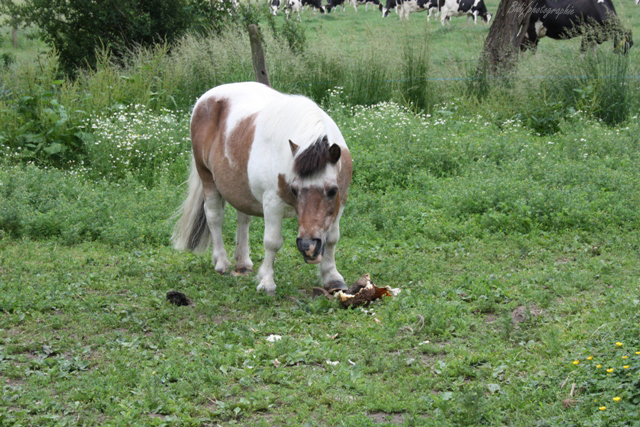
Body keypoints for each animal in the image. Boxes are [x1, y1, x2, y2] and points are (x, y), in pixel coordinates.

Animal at [172, 81, 352, 294]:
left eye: (332, 191)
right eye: (294, 190)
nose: (308, 246)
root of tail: (205, 99)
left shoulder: (341, 201)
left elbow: (332, 238)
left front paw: (332, 277)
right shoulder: (272, 203)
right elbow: (272, 242)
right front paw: (266, 282)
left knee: (243, 219)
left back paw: (242, 263)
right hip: (207, 177)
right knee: (214, 217)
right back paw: (221, 263)